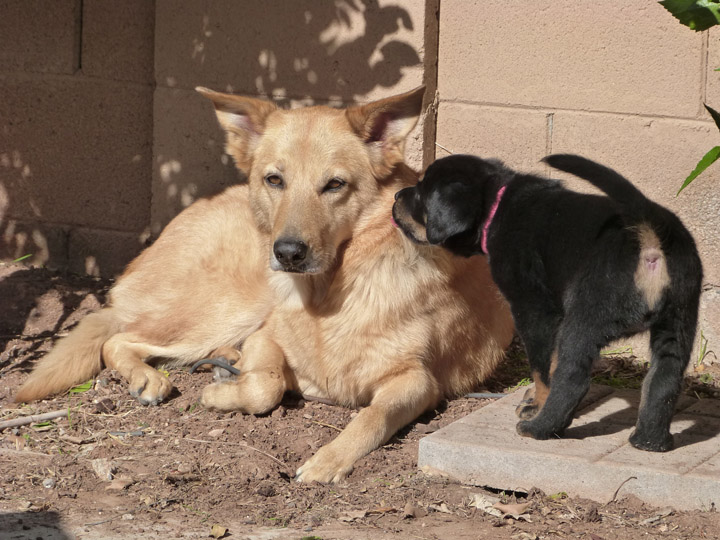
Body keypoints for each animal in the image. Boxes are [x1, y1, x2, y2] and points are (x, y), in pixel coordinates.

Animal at [14, 86, 516, 484]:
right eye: (275, 180)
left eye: (335, 185)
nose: (288, 252)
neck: (332, 294)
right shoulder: (266, 335)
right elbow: (267, 386)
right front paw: (222, 394)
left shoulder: (418, 382)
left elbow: (371, 416)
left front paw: (328, 460)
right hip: (229, 308)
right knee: (117, 338)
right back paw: (150, 378)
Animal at [394, 153, 704, 452]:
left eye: (420, 193)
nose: (397, 196)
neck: (495, 206)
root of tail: (648, 236)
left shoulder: (533, 309)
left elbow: (543, 368)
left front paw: (536, 405)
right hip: (679, 320)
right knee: (664, 381)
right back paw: (650, 442)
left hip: (584, 318)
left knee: (573, 377)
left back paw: (539, 428)